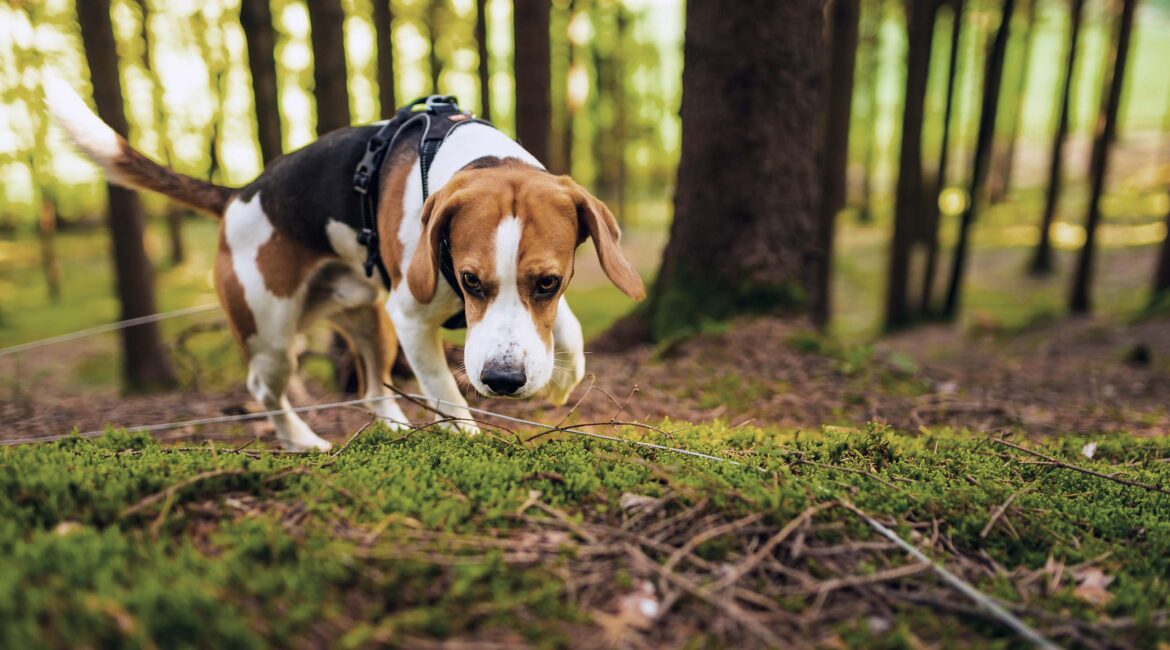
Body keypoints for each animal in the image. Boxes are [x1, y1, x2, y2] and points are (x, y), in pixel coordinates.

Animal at [45, 80, 645, 451]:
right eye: (470, 280)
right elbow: (445, 392)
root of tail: (239, 195)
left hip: (368, 317)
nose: (502, 380)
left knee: (372, 388)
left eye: (548, 282)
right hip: (273, 334)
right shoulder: (411, 317)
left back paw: (392, 427)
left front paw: (562, 375)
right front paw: (468, 435)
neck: (475, 159)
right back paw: (302, 441)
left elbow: (567, 332)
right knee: (265, 389)